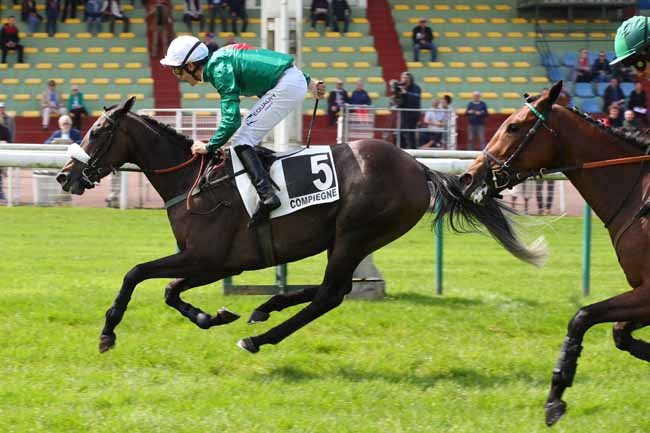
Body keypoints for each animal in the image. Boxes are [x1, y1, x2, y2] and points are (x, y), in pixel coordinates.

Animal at [55, 98, 540, 358]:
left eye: (97, 132)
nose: (63, 176)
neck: (192, 182)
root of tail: (418, 167)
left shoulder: (207, 258)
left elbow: (137, 274)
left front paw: (107, 332)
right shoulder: (210, 264)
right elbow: (171, 292)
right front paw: (215, 315)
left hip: (355, 234)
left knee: (330, 294)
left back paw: (259, 337)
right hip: (348, 239)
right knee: (334, 288)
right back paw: (266, 308)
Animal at [458, 80, 648, 426]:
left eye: (513, 127)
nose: (468, 177)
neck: (640, 196)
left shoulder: (647, 291)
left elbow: (581, 317)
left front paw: (555, 398)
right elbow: (618, 333)